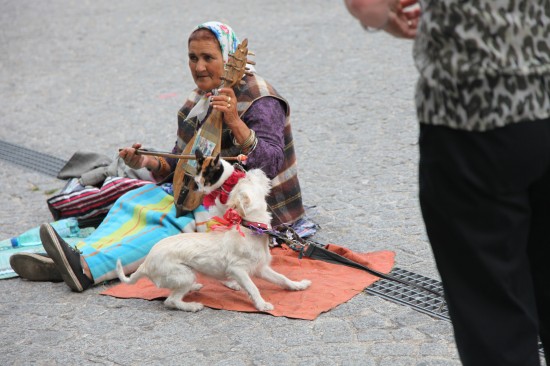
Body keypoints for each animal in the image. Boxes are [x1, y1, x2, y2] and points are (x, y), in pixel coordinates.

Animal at [116, 169, 312, 312]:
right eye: (248, 180)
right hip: (183, 274)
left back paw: (194, 288)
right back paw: (192, 306)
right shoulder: (238, 270)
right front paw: (262, 305)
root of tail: (145, 264)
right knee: (170, 301)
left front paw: (298, 285)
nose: (255, 170)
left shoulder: (260, 268)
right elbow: (253, 287)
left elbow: (282, 278)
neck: (251, 229)